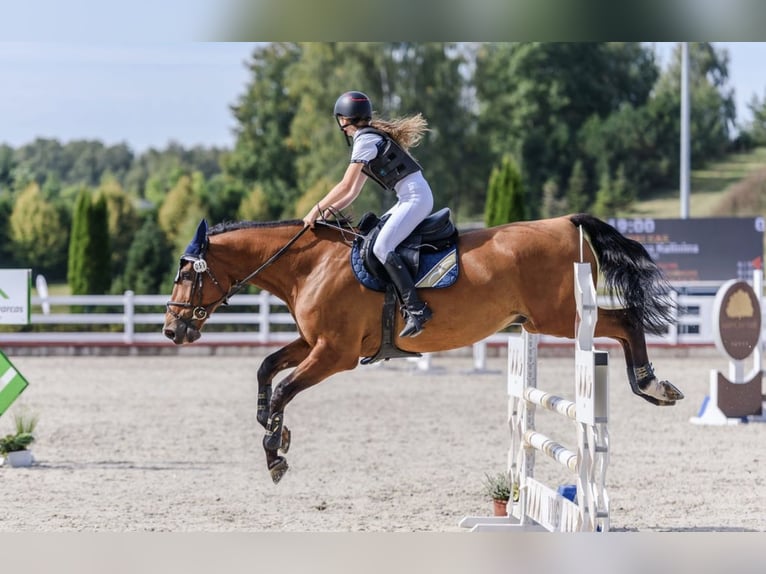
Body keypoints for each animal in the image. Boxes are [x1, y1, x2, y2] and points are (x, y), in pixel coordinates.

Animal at [162, 214, 684, 484]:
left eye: (187, 273)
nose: (171, 330)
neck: (309, 264)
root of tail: (565, 222)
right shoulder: (314, 342)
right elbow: (267, 369)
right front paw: (274, 427)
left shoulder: (334, 353)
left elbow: (284, 387)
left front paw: (275, 453)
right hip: (544, 320)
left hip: (561, 316)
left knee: (625, 322)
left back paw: (652, 385)